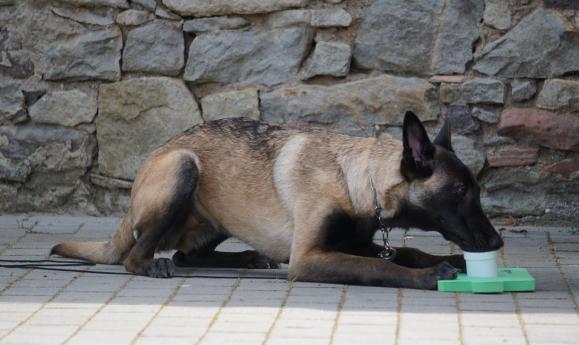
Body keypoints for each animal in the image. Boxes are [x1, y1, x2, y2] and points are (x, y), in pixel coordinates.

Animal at [53, 112, 502, 288]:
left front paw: (450, 260)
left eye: (476, 191)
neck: (358, 180)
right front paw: (429, 276)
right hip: (182, 167)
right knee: (138, 256)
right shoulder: (310, 257)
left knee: (188, 253)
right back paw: (151, 265)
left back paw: (250, 257)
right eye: (461, 192)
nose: (497, 242)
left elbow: (405, 253)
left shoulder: (354, 242)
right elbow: (379, 267)